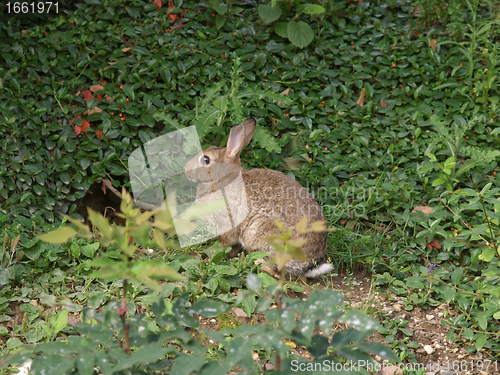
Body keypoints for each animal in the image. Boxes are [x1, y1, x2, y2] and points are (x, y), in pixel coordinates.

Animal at [184, 119, 332, 278]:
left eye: (206, 159)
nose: (185, 168)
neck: (223, 179)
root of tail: (309, 264)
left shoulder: (226, 224)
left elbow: (223, 244)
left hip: (262, 232)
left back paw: (255, 263)